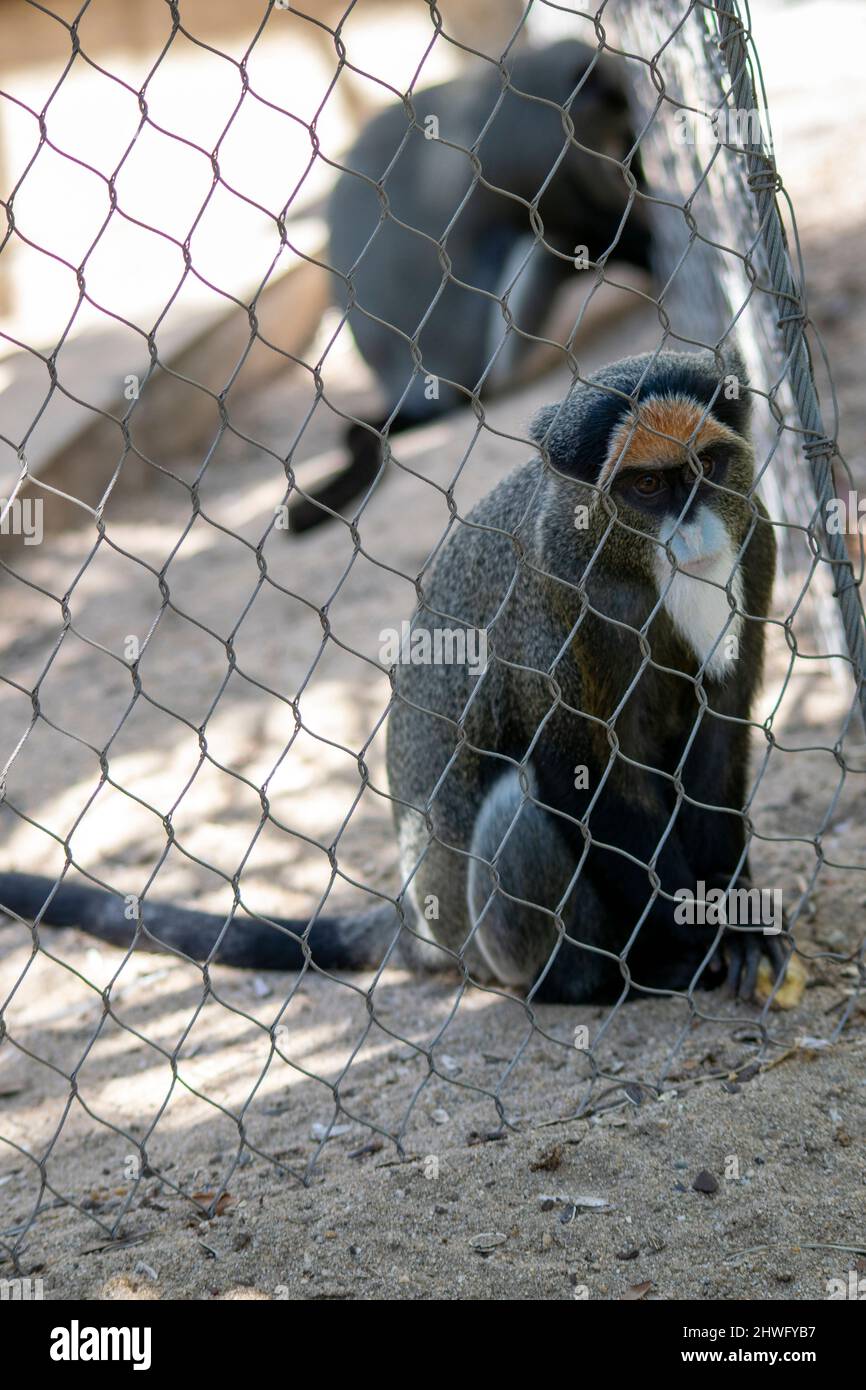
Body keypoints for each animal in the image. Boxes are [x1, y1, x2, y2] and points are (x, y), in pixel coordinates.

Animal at [0, 347, 790, 1004]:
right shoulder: (550, 595)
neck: (624, 560)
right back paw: (597, 981)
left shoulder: (756, 542)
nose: (693, 529)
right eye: (648, 485)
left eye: (706, 470)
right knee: (519, 805)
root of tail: (423, 927)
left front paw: (740, 918)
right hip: (491, 941)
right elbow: (580, 777)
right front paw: (705, 934)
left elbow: (719, 735)